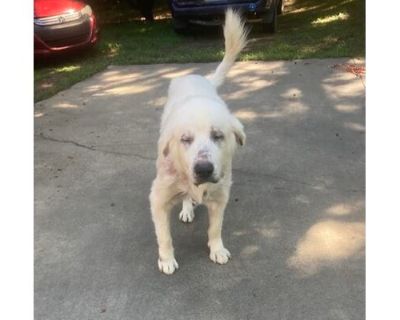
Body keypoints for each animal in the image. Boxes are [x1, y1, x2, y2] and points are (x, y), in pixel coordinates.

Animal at [148, 10, 247, 276]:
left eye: (218, 136)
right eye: (186, 139)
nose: (203, 169)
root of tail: (195, 77)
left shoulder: (221, 195)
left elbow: (215, 228)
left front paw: (217, 249)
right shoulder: (158, 198)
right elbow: (164, 236)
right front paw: (166, 259)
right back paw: (186, 208)